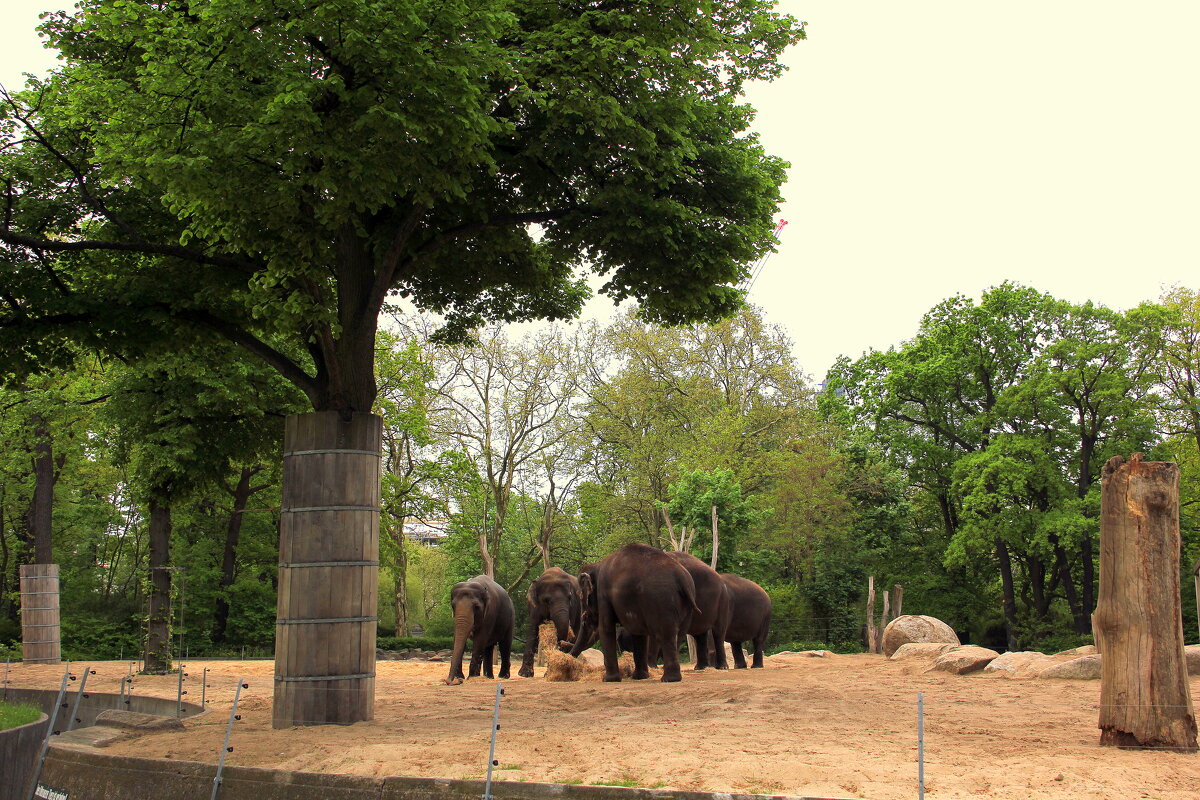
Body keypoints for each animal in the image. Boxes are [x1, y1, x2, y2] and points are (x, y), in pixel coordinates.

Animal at [568, 544, 700, 681]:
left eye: (580, 595)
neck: (597, 565)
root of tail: (682, 578)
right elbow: (638, 633)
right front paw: (639, 677)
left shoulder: (603, 594)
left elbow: (606, 628)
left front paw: (608, 679)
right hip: (685, 605)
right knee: (679, 635)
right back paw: (672, 678)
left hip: (661, 600)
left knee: (666, 634)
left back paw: (668, 679)